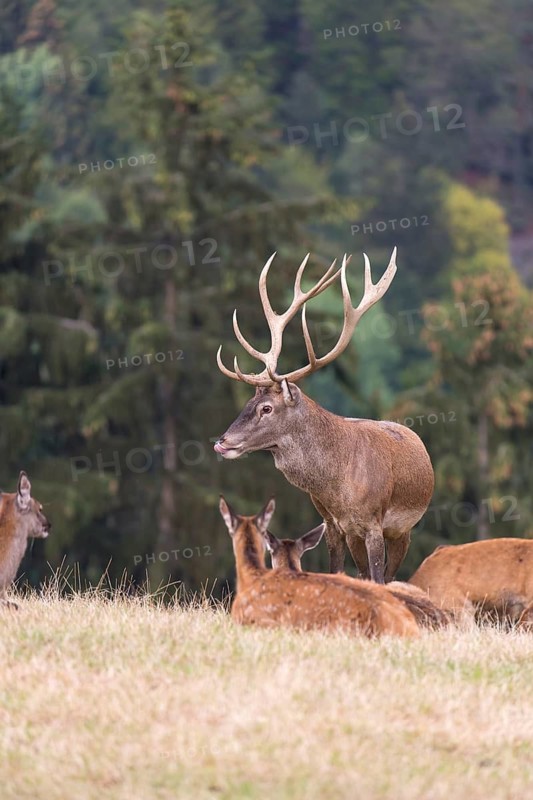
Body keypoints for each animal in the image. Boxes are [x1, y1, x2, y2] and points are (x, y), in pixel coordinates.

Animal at [214, 249, 434, 584]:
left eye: (267, 408)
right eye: (249, 404)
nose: (222, 441)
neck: (338, 489)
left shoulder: (374, 523)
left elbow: (379, 578)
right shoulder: (333, 524)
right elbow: (337, 572)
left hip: (403, 530)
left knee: (390, 575)